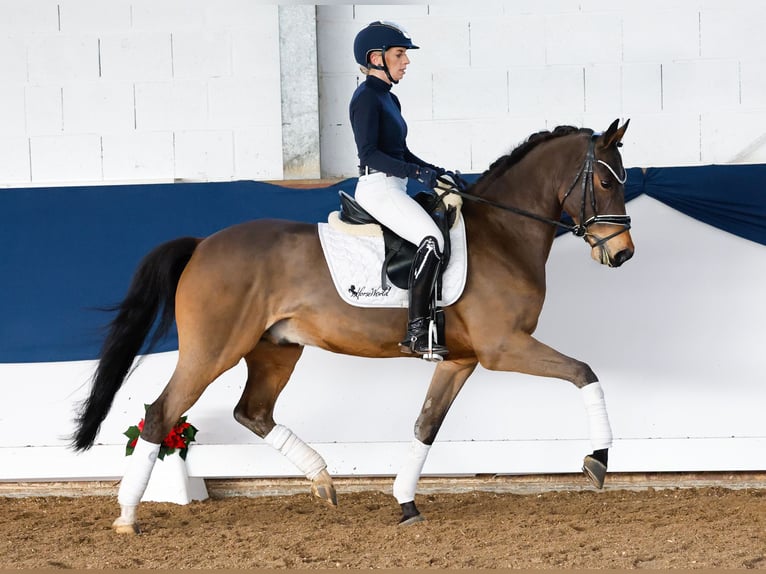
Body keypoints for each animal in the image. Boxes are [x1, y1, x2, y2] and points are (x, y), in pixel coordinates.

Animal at [72, 118, 636, 536]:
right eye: (607, 182)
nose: (623, 254)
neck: (502, 234)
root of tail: (202, 244)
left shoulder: (460, 359)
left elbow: (425, 426)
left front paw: (406, 504)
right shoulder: (504, 348)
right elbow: (584, 372)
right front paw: (598, 460)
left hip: (275, 350)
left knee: (252, 412)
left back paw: (323, 480)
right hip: (213, 351)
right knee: (160, 414)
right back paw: (127, 516)